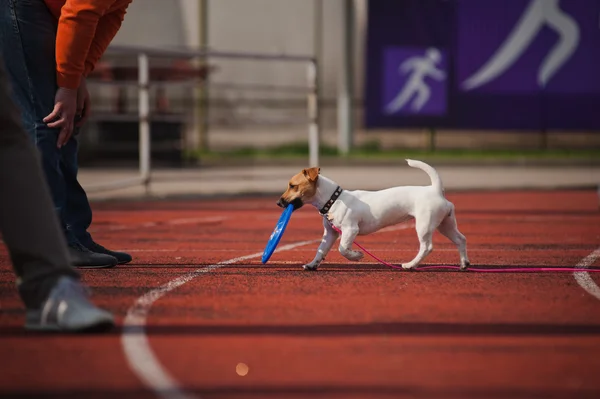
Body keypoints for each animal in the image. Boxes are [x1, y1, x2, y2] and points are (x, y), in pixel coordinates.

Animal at [276, 159, 468, 272]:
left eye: (292, 186)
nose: (278, 203)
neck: (334, 199)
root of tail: (435, 189)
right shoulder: (330, 233)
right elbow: (321, 250)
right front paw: (312, 265)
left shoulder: (350, 229)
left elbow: (343, 249)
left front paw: (356, 256)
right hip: (445, 225)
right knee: (461, 239)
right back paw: (464, 264)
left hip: (424, 225)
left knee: (427, 247)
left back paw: (410, 265)